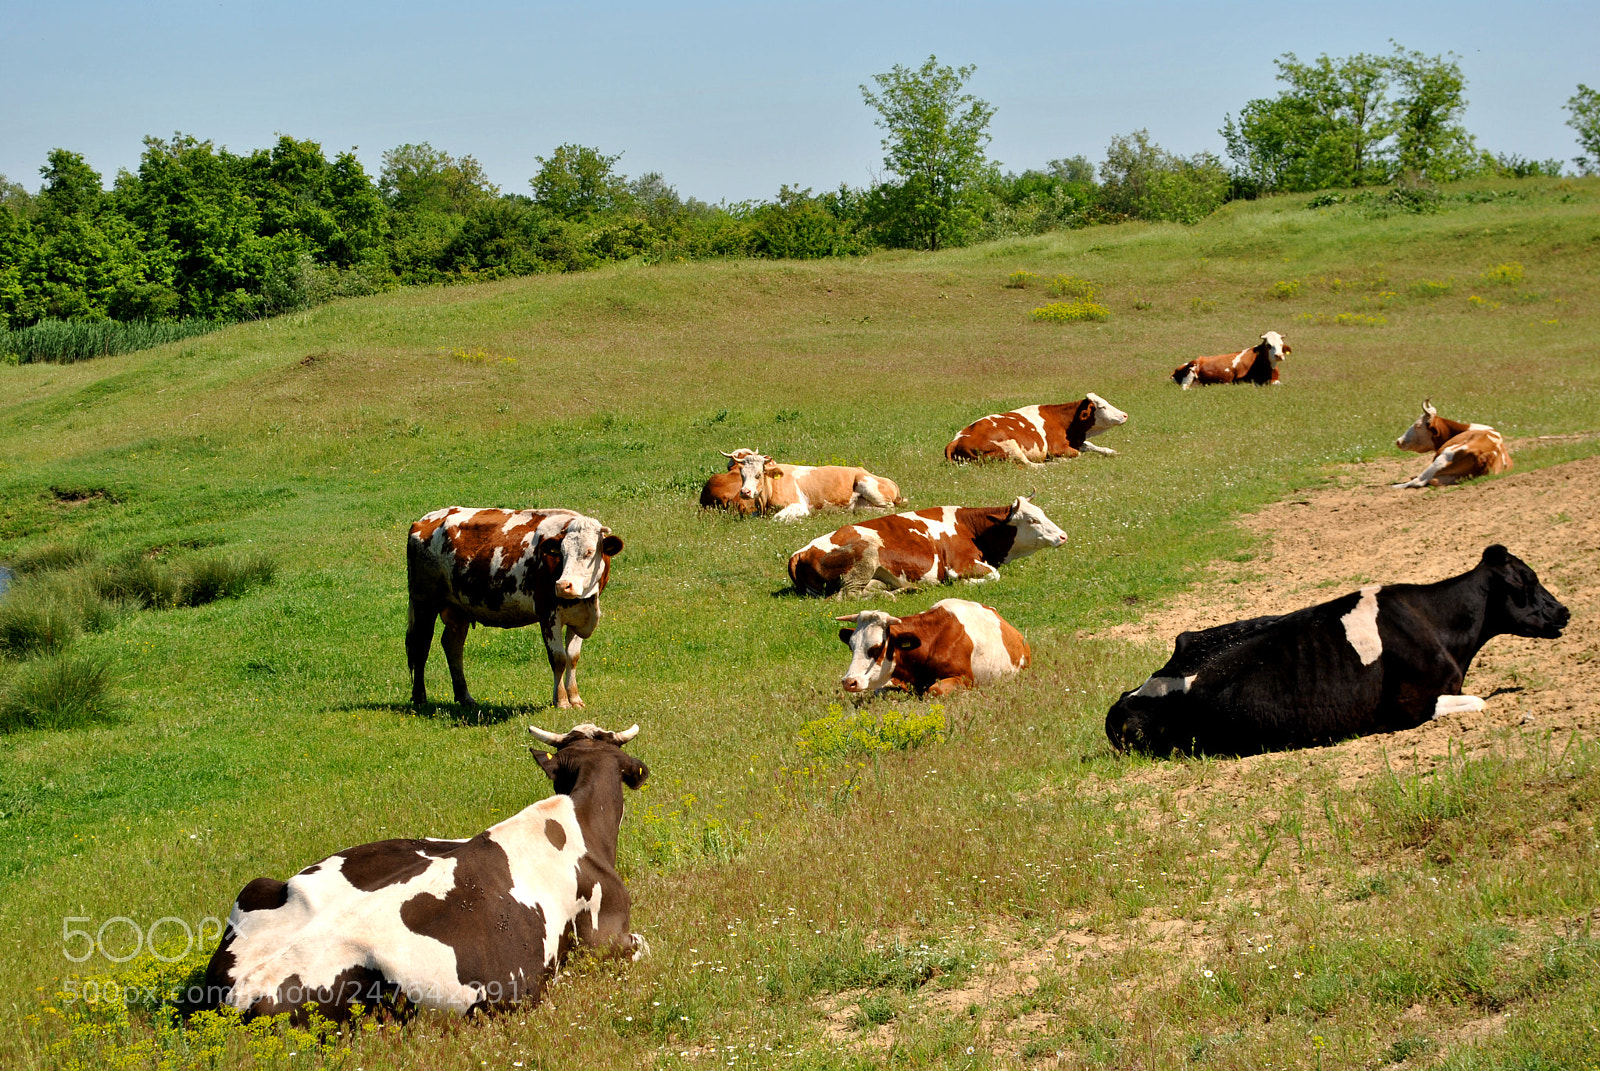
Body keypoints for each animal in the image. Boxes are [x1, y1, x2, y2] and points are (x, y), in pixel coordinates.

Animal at [407, 507, 623, 709]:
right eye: (561, 553)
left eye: (589, 552)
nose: (563, 585)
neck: (587, 601)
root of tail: (426, 519)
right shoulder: (548, 614)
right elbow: (559, 658)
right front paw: (561, 701)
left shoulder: (579, 616)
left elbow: (572, 658)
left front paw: (575, 699)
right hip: (424, 602)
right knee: (421, 646)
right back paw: (419, 698)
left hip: (458, 609)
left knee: (453, 646)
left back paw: (465, 697)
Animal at [721, 449, 906, 520]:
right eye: (742, 475)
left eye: (758, 475)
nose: (745, 492)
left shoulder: (798, 506)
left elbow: (777, 518)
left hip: (868, 485)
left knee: (889, 508)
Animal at [788, 496, 1068, 597]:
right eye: (1032, 519)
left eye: (1042, 513)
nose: (1063, 536)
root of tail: (800, 551)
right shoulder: (961, 565)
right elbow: (992, 576)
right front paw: (964, 584)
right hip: (866, 552)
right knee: (847, 595)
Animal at [944, 393, 1129, 466]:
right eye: (1103, 407)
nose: (1125, 415)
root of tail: (957, 439)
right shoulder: (1057, 448)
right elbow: (1078, 454)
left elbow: (1092, 446)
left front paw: (1112, 451)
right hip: (1010, 446)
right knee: (1030, 465)